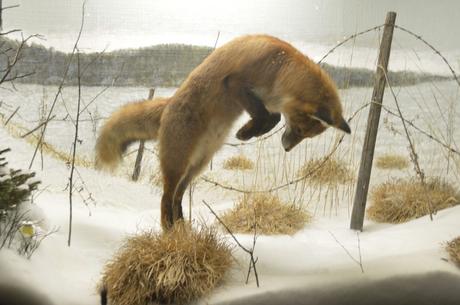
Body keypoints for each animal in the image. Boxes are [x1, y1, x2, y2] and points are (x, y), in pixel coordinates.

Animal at [95, 35, 350, 230]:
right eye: (298, 129)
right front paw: (246, 132)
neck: (281, 69)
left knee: (177, 196)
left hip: (197, 165)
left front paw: (248, 131)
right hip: (177, 163)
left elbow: (273, 117)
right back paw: (168, 230)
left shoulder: (269, 101)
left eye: (306, 136)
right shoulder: (235, 83)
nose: (286, 148)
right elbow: (265, 114)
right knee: (166, 198)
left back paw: (182, 228)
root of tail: (168, 104)